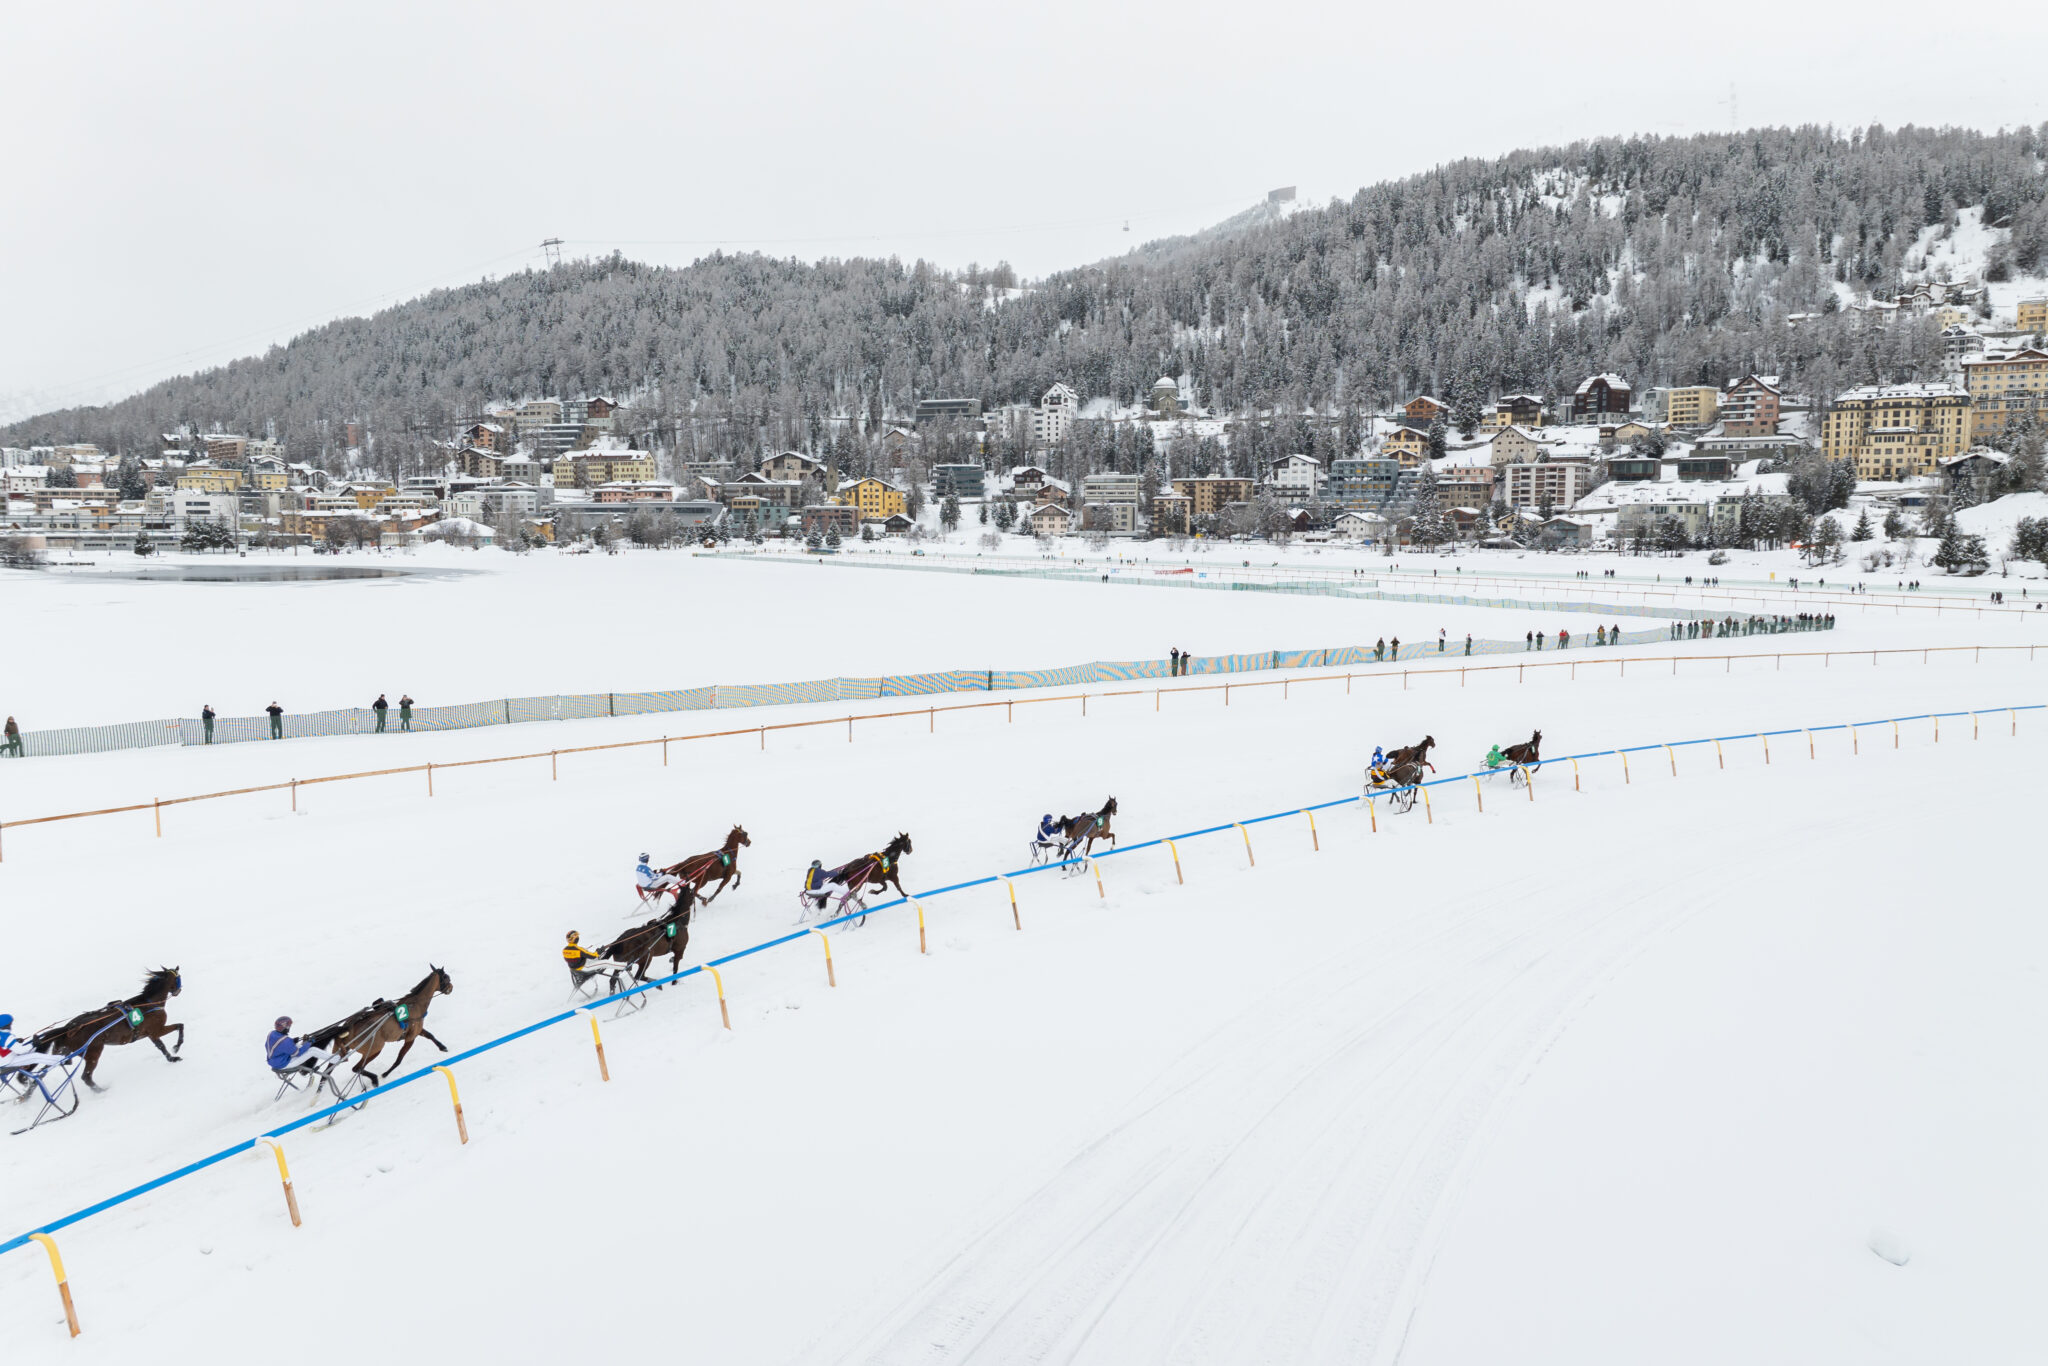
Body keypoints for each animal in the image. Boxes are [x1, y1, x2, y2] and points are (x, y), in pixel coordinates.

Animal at [34, 966, 185, 1097]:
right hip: (93, 1052)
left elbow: (161, 1047)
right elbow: (179, 1026)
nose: (179, 990)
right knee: (86, 1076)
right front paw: (177, 1047)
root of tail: (70, 1027)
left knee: (44, 1071)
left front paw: (172, 1058)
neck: (150, 1003)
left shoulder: (150, 1034)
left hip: (63, 1052)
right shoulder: (157, 1030)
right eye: (179, 978)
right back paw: (100, 1090)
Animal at [303, 970, 456, 1089]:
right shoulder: (410, 1037)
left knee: (328, 1071)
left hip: (341, 1051)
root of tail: (348, 1027)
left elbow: (430, 1035)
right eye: (447, 977)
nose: (451, 987)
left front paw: (442, 1047)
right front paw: (385, 1074)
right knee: (357, 1068)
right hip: (374, 1049)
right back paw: (374, 1078)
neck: (415, 1004)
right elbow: (399, 1059)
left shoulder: (417, 1030)